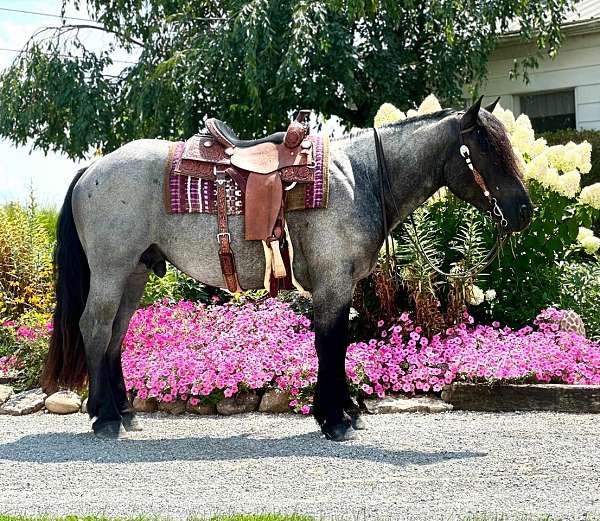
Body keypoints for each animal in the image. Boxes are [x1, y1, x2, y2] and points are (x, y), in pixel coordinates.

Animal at [39, 96, 532, 438]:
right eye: (486, 152)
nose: (524, 212)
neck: (360, 178)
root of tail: (92, 169)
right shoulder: (333, 283)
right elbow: (331, 345)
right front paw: (335, 419)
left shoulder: (340, 286)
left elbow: (336, 346)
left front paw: (343, 411)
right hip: (111, 271)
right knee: (95, 327)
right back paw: (104, 417)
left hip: (134, 273)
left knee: (115, 335)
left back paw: (123, 413)